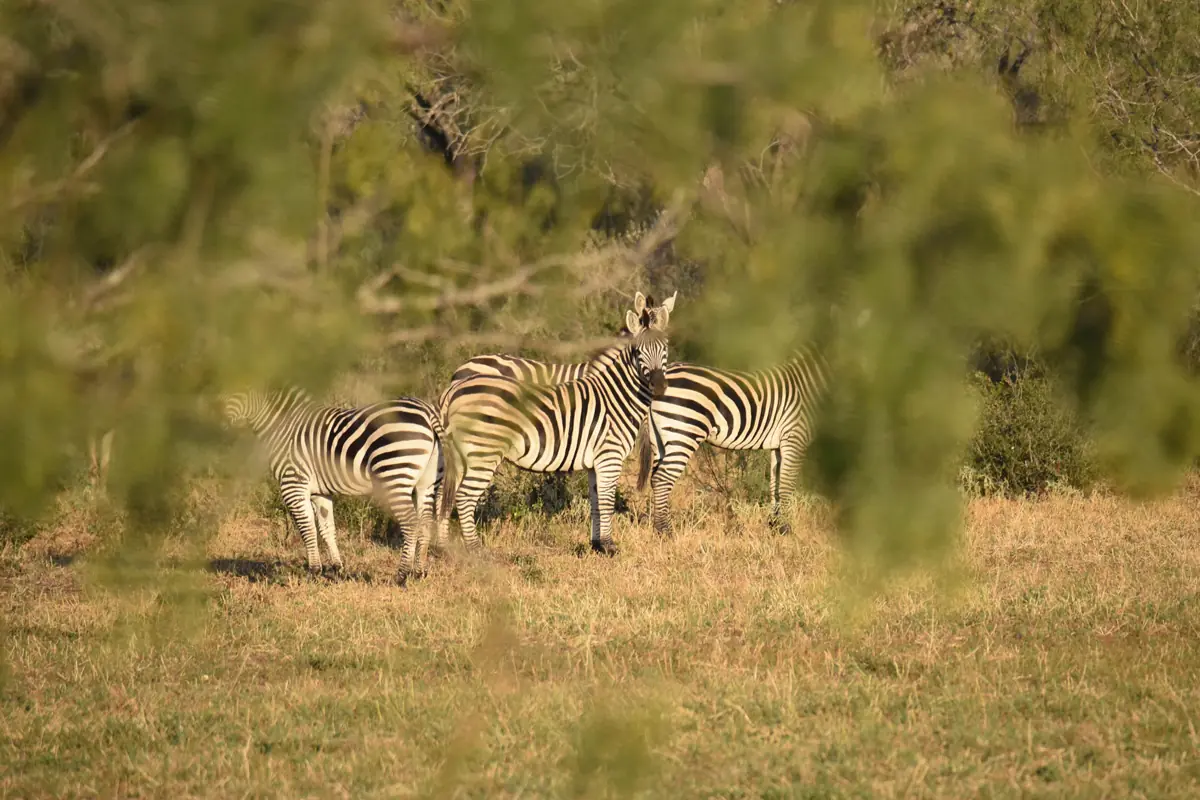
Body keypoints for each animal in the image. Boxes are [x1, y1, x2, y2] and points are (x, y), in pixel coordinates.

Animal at [222, 387, 454, 585]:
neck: (284, 427)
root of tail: (427, 411)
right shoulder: (320, 493)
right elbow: (327, 529)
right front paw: (337, 569)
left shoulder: (293, 485)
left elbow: (307, 529)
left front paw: (314, 572)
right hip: (426, 483)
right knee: (425, 523)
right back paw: (419, 572)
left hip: (395, 473)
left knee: (411, 523)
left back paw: (401, 575)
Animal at [437, 310, 670, 556]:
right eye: (638, 351)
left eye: (664, 347)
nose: (659, 386)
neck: (615, 396)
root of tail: (453, 390)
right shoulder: (609, 456)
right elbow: (607, 501)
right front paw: (609, 546)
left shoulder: (595, 462)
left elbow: (596, 501)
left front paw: (596, 544)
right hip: (482, 453)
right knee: (464, 497)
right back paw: (476, 550)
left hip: (461, 455)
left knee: (444, 494)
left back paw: (442, 548)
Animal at [634, 347, 829, 535]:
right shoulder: (794, 437)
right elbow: (787, 485)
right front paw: (785, 529)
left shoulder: (779, 445)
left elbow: (775, 484)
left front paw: (774, 525)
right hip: (683, 432)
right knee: (662, 479)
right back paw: (665, 532)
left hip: (660, 439)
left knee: (655, 478)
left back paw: (658, 528)